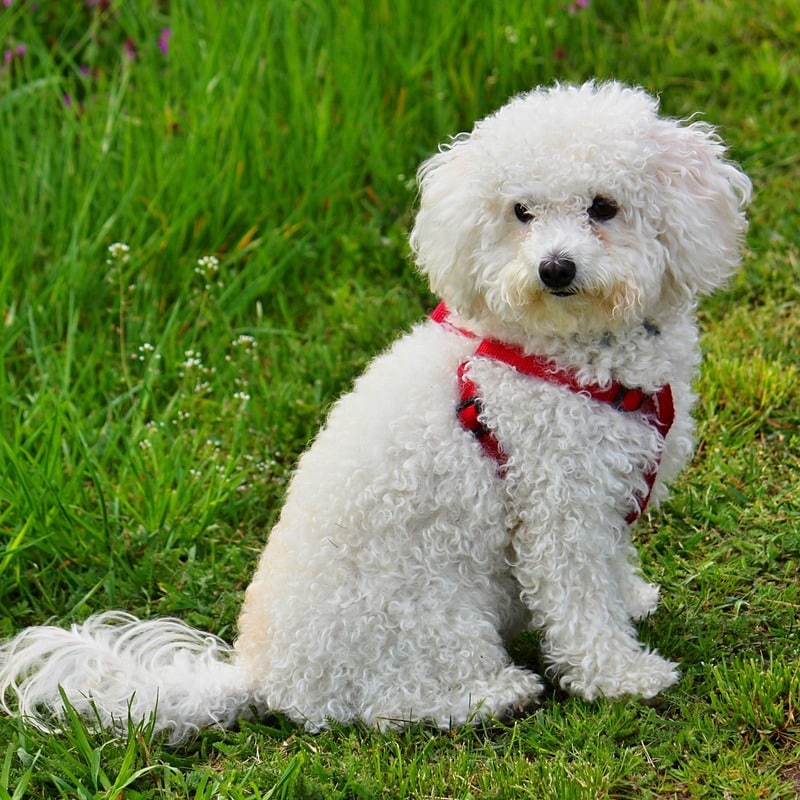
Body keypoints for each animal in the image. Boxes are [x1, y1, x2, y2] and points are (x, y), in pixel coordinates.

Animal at [0, 78, 752, 740]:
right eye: (521, 213)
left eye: (603, 206)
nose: (554, 269)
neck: (572, 353)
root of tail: (258, 675)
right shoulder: (559, 508)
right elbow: (580, 605)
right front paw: (622, 677)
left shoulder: (608, 495)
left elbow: (612, 571)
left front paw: (634, 601)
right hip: (433, 620)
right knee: (395, 707)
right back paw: (495, 694)